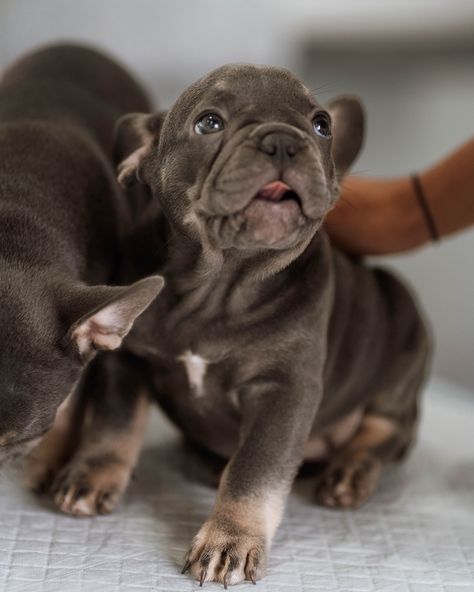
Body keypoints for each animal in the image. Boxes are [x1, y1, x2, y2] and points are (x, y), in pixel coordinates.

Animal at [101, 66, 430, 588]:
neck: (220, 284)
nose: (283, 141)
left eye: (321, 125)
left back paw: (350, 473)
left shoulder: (283, 389)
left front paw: (229, 540)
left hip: (403, 353)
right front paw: (88, 476)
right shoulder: (127, 357)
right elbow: (114, 422)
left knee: (385, 433)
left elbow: (253, 470)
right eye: (209, 123)